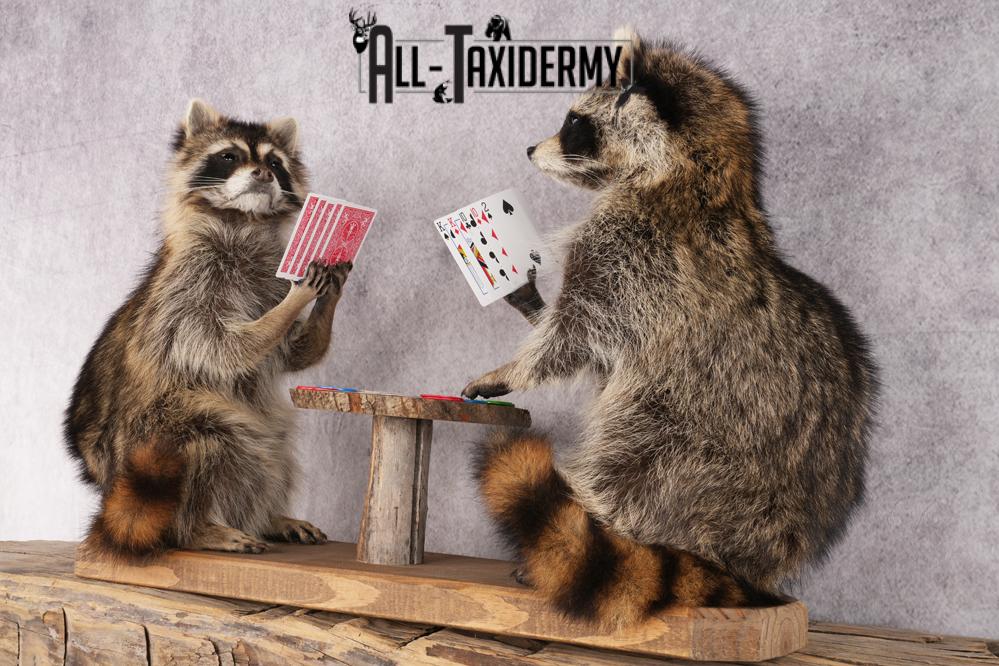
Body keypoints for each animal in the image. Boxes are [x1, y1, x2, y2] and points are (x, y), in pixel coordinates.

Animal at [65, 99, 352, 557]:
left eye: (275, 162)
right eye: (229, 156)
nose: (263, 173)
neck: (242, 220)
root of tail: (110, 486)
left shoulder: (260, 279)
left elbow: (293, 353)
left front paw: (328, 298)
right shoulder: (187, 287)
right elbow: (221, 347)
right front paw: (292, 303)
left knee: (276, 447)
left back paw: (268, 516)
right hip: (156, 435)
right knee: (211, 440)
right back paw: (197, 527)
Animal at [464, 28, 878, 627]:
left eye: (573, 123)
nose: (529, 149)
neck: (704, 177)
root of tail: (759, 557)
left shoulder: (634, 258)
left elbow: (573, 337)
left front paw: (514, 367)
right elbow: (589, 348)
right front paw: (528, 302)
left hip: (689, 441)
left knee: (626, 462)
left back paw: (602, 520)